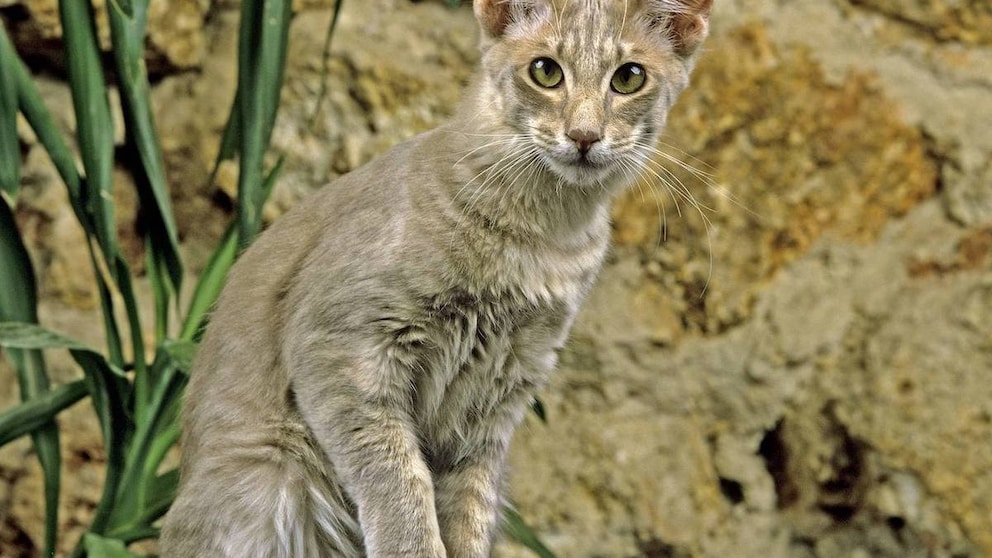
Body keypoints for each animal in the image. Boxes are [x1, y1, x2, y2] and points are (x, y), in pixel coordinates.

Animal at [159, 0, 708, 556]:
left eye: (629, 77)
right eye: (545, 71)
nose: (584, 136)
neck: (543, 239)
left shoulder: (496, 402)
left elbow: (468, 511)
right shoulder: (341, 348)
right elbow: (402, 484)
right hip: (268, 481)